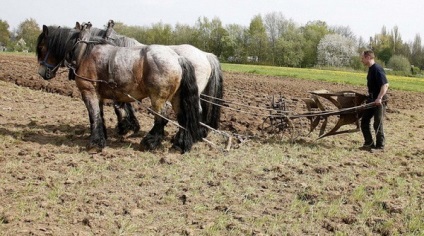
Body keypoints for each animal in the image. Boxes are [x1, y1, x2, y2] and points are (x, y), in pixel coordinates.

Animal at [36, 20, 224, 142]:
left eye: (41, 48)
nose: (42, 73)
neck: (84, 51)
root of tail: (204, 55)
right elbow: (114, 109)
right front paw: (126, 127)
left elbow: (115, 109)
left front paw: (125, 127)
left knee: (186, 112)